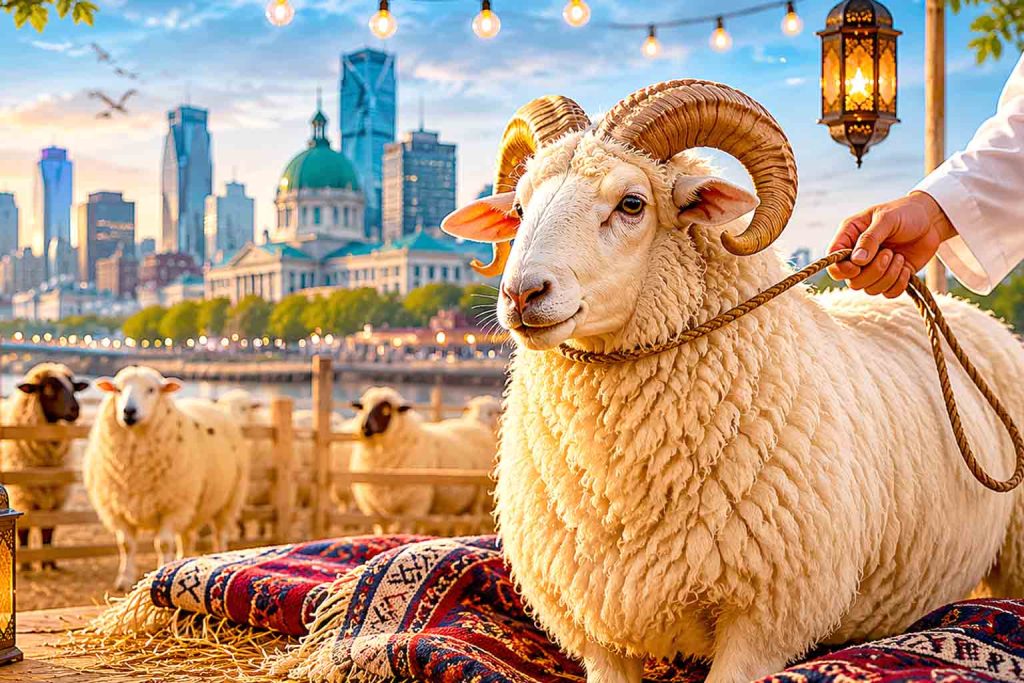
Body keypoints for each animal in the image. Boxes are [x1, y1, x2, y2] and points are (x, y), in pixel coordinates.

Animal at [0, 363, 88, 569]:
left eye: (73, 387)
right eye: (48, 389)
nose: (75, 410)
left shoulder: (57, 495)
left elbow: (49, 529)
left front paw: (50, 564)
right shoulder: (21, 494)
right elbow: (23, 531)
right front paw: (25, 565)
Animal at [84, 366, 248, 590]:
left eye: (151, 390)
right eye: (117, 389)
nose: (129, 412)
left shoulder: (173, 507)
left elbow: (163, 544)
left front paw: (161, 572)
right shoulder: (115, 509)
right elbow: (126, 545)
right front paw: (124, 580)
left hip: (228, 500)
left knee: (220, 534)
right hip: (192, 505)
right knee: (187, 538)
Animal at [349, 387, 495, 529]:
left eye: (386, 409)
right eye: (363, 407)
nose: (364, 428)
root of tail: (478, 425)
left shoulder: (413, 506)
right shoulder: (373, 510)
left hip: (481, 503)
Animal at [440, 83, 1024, 683]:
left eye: (632, 204)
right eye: (518, 208)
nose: (521, 294)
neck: (621, 491)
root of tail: (973, 312)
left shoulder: (765, 619)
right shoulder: (597, 629)